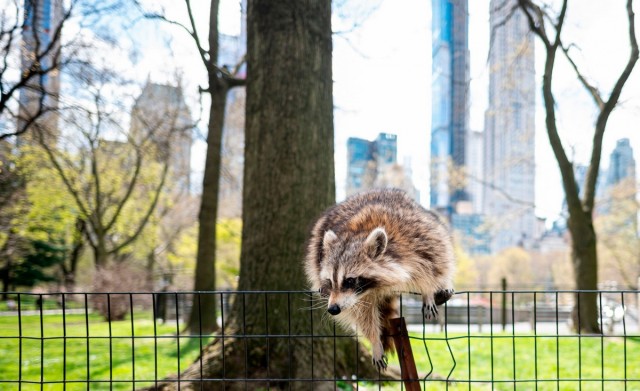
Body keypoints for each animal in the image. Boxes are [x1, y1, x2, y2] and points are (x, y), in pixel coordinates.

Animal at [304, 189, 456, 370]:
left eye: (349, 280)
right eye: (330, 281)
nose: (333, 309)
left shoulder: (418, 239)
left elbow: (432, 264)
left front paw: (427, 291)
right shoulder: (359, 298)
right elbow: (363, 315)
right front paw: (375, 341)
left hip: (431, 223)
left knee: (444, 252)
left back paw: (444, 284)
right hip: (317, 245)